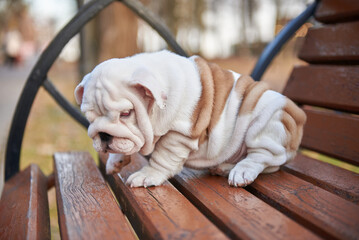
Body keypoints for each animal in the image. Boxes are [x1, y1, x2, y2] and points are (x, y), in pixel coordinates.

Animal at [75, 50, 306, 188]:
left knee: (263, 157)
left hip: (266, 120)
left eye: (125, 113)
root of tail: (299, 116)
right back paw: (224, 167)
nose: (104, 135)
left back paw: (241, 171)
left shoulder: (179, 134)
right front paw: (116, 160)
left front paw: (148, 174)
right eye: (90, 117)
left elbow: (162, 157)